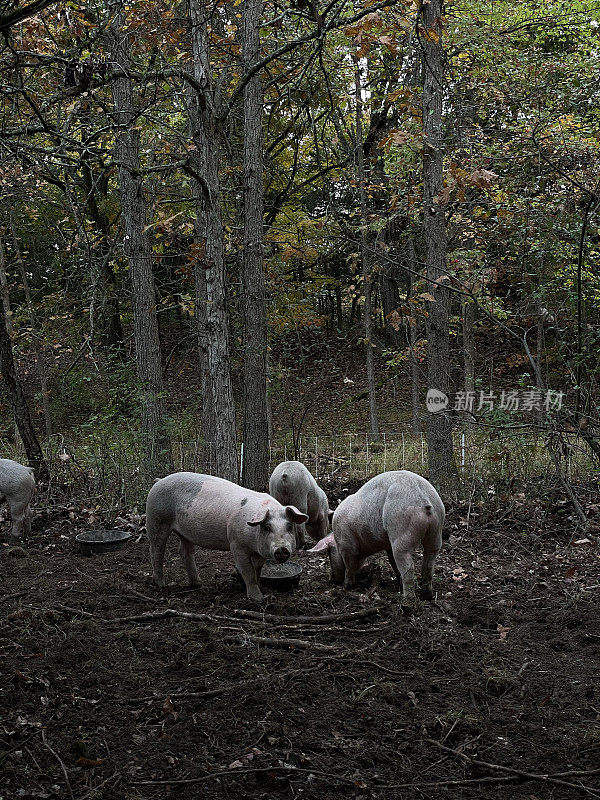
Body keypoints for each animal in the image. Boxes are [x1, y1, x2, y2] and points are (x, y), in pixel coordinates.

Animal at [143, 476, 308, 600]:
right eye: (267, 527)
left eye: (289, 526)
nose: (282, 549)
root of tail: (158, 481)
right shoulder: (236, 545)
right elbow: (248, 572)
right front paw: (257, 599)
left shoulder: (259, 552)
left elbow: (257, 570)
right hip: (157, 519)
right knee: (156, 550)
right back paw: (161, 584)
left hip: (185, 532)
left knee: (184, 551)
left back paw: (198, 584)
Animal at [310, 468, 446, 608]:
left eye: (329, 552)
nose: (331, 578)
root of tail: (424, 500)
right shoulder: (388, 546)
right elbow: (392, 562)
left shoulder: (346, 544)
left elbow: (349, 566)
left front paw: (346, 587)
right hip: (436, 531)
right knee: (429, 562)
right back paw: (427, 596)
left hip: (401, 531)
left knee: (409, 566)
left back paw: (407, 600)